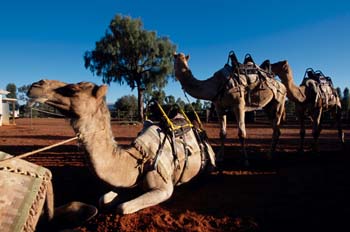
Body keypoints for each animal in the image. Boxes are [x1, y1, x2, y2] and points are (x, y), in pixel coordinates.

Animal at [27, 79, 215, 214]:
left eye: (73, 89)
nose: (36, 85)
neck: (138, 158)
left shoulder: (164, 188)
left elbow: (122, 207)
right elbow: (103, 200)